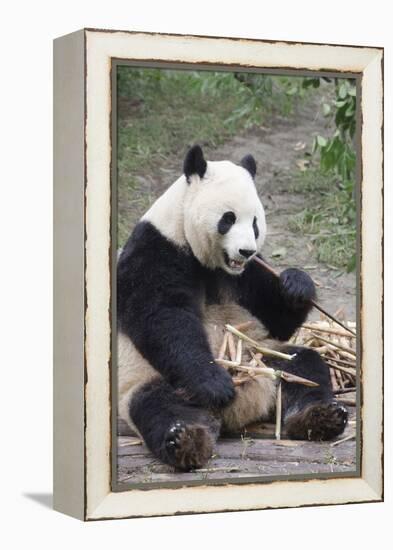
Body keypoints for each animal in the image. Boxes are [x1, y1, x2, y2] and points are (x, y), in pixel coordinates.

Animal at [116, 144, 346, 472]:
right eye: (228, 218)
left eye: (255, 223)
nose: (246, 250)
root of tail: (243, 409)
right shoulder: (155, 250)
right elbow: (162, 317)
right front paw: (215, 384)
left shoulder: (249, 272)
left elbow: (275, 317)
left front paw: (296, 285)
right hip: (150, 379)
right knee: (158, 405)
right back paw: (185, 439)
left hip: (265, 355)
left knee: (305, 368)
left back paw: (320, 416)